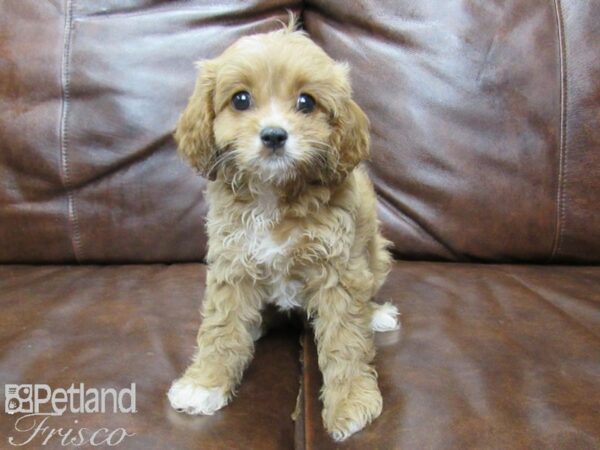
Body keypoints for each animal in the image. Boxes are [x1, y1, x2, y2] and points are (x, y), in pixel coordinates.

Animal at [166, 18, 398, 442]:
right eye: (241, 99)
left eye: (306, 102)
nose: (274, 135)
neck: (274, 194)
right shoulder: (232, 264)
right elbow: (221, 327)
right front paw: (205, 384)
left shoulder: (338, 271)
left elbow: (345, 339)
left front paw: (350, 403)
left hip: (376, 255)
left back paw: (375, 314)